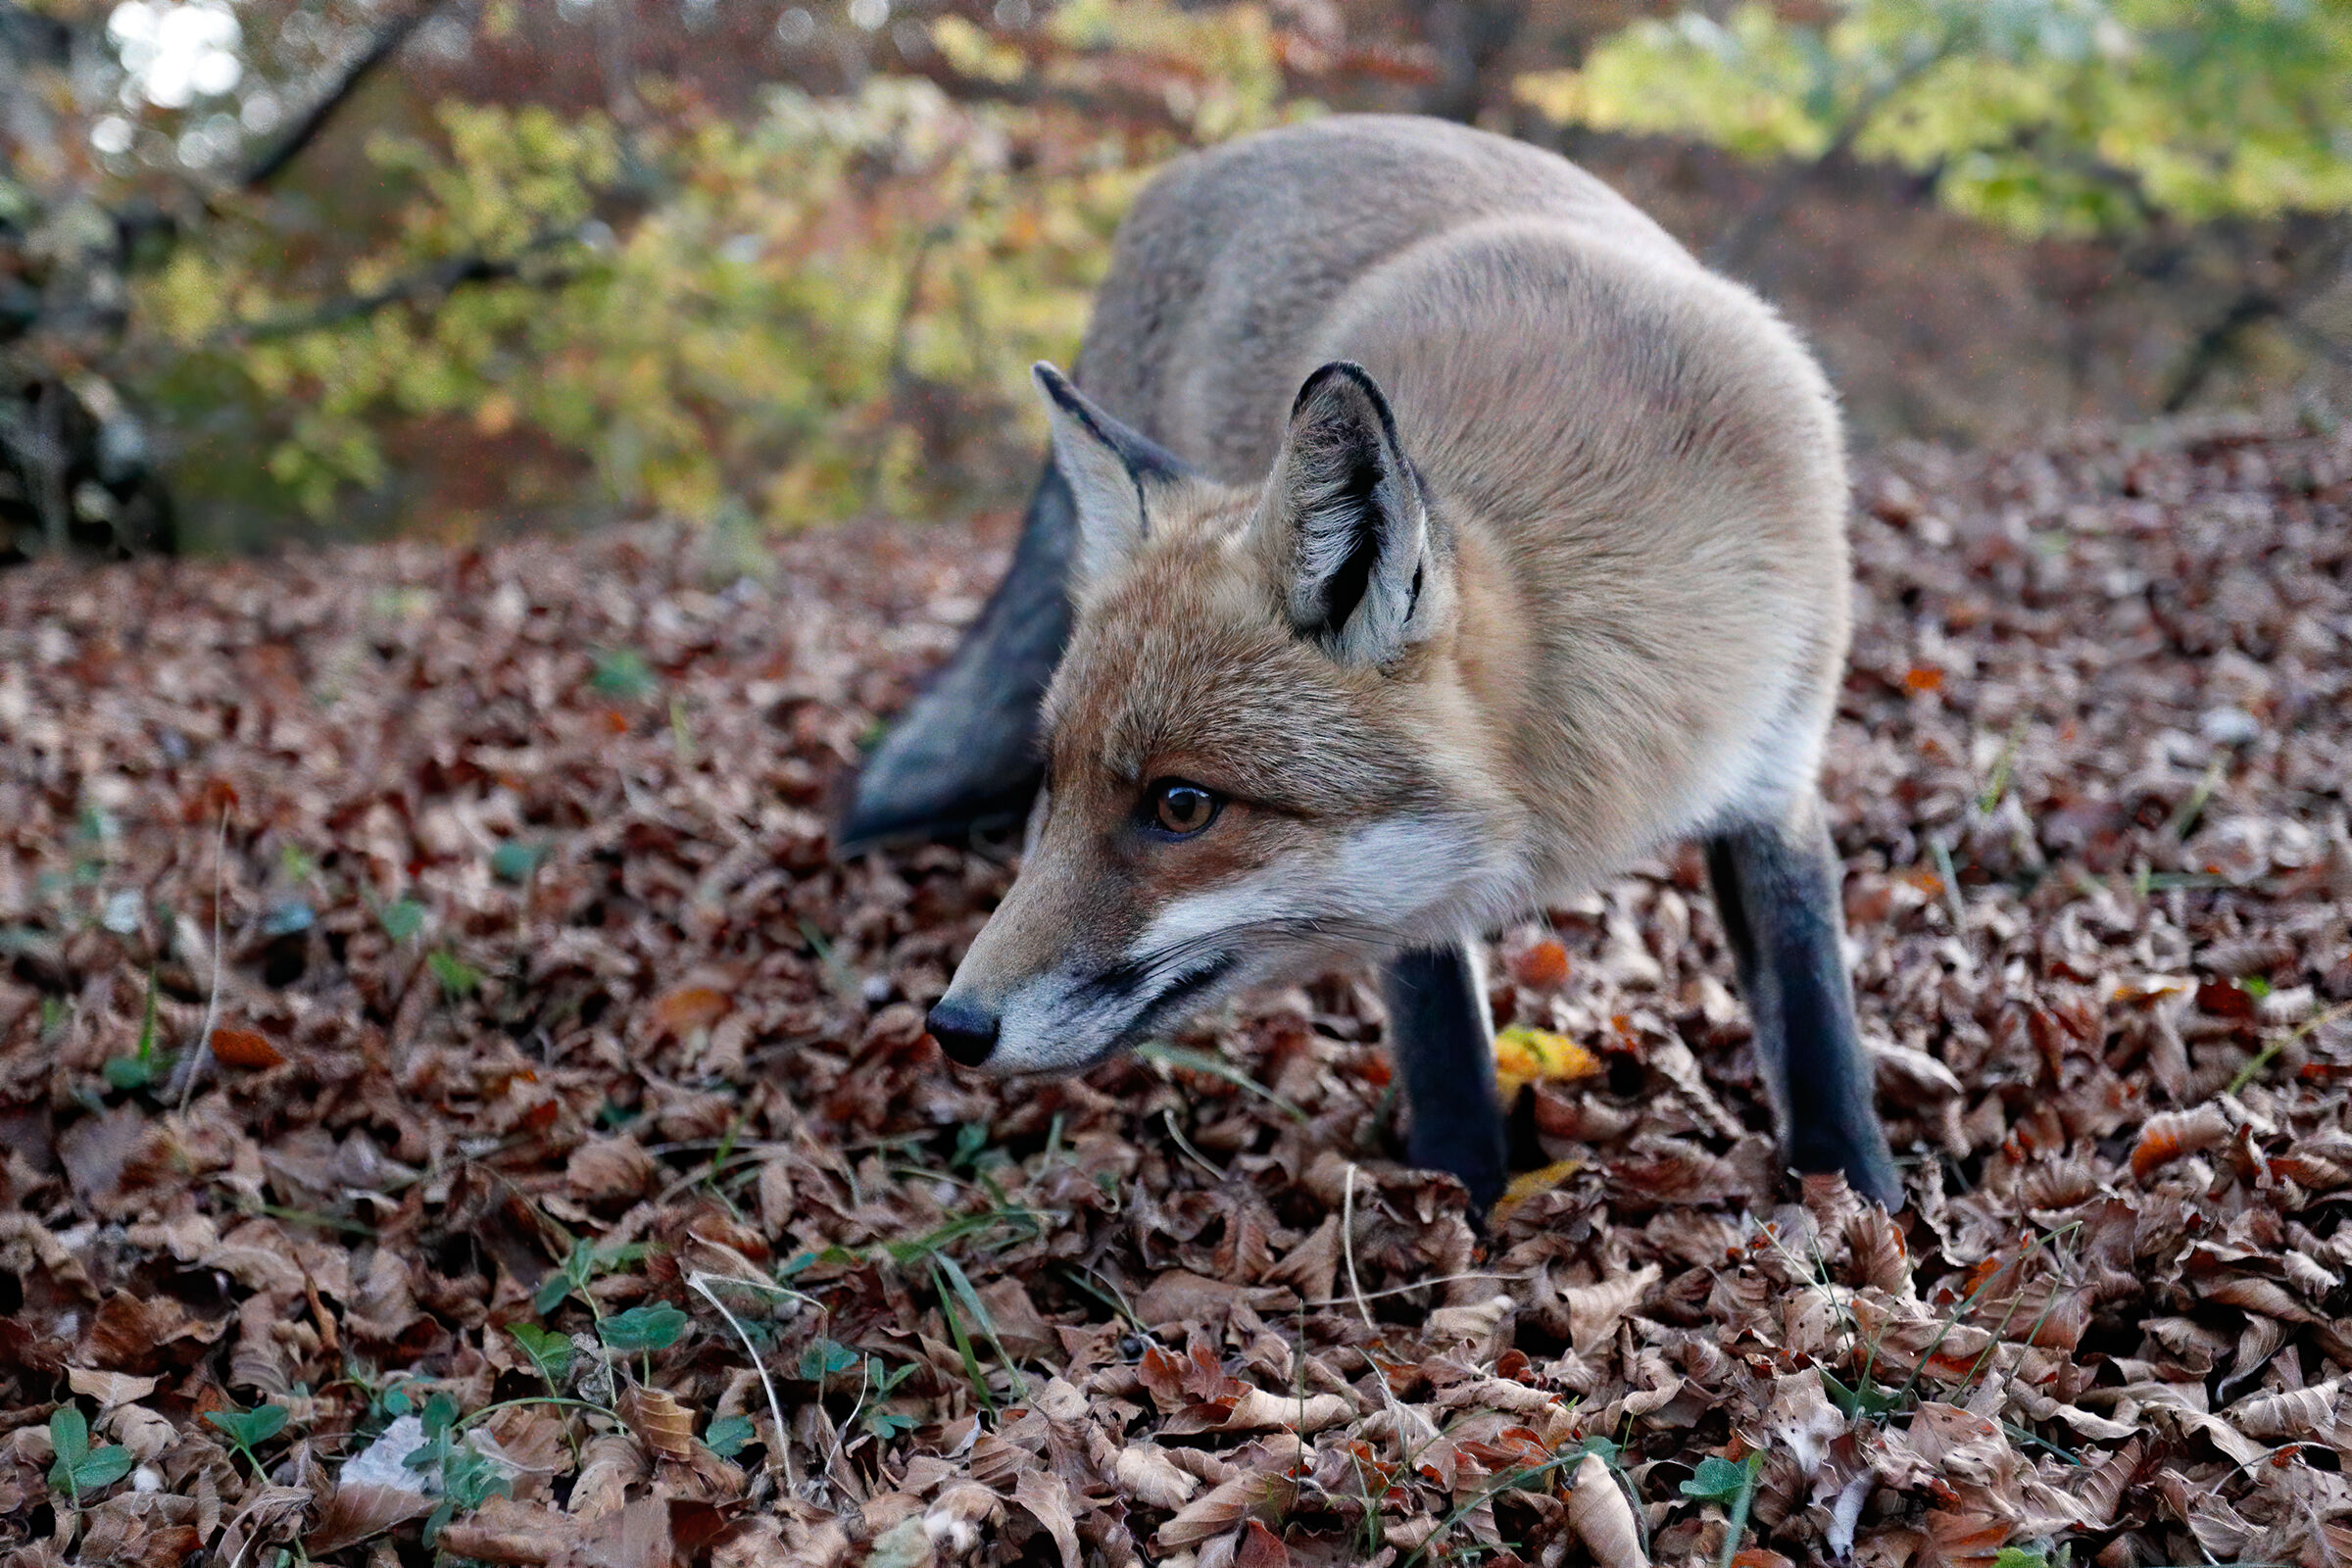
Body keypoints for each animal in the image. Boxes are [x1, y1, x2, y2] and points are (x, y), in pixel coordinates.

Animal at [837, 114, 1901, 1212]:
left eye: (1182, 806)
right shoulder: (1423, 886)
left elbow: (1818, 1030)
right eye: (1056, 775)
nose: (953, 1026)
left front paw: (1859, 1202)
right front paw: (1460, 1211)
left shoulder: (1775, 778)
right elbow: (1445, 1050)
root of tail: (1212, 160)